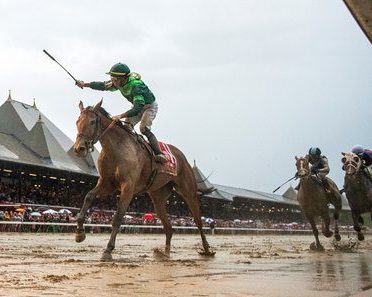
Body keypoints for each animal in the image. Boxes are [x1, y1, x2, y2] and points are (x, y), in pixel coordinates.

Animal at [73, 99, 215, 260]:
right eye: (77, 121)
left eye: (92, 122)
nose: (79, 148)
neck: (116, 148)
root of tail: (183, 158)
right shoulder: (107, 183)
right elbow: (89, 196)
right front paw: (79, 233)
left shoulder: (128, 186)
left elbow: (118, 217)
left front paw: (108, 250)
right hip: (158, 197)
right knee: (169, 227)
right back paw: (165, 253)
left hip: (188, 191)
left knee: (198, 221)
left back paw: (207, 249)